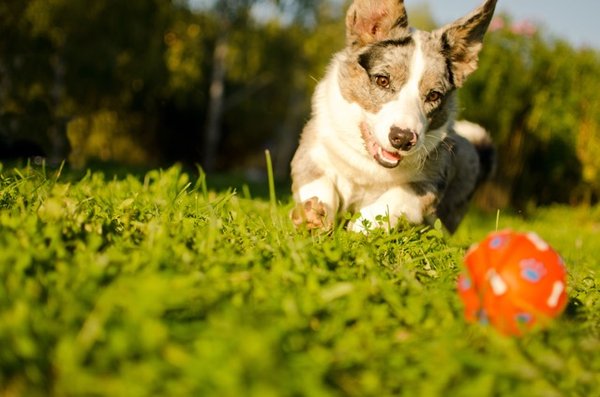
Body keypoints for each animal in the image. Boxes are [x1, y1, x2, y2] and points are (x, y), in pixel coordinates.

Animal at [290, 0, 496, 232]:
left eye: (434, 95)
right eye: (382, 80)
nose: (403, 139)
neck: (371, 165)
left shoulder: (428, 185)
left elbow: (392, 199)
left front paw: (360, 228)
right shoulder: (311, 153)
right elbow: (319, 183)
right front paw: (312, 214)